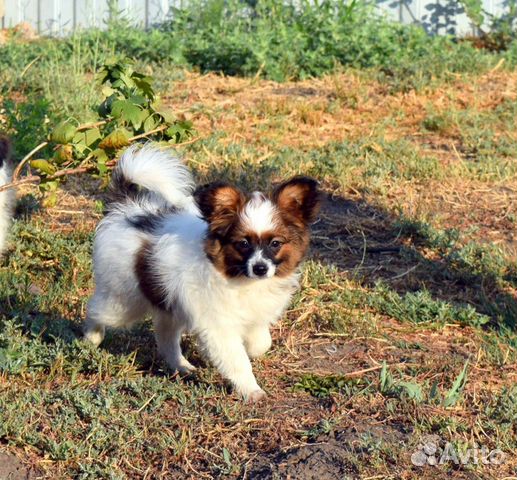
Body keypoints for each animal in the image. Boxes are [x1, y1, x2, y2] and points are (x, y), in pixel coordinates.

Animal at [83, 144, 318, 400]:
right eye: (243, 244)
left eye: (275, 243)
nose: (260, 268)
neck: (239, 277)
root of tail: (126, 207)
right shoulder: (218, 326)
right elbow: (237, 361)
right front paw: (251, 390)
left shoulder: (253, 316)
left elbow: (261, 342)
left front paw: (253, 351)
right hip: (123, 303)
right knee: (95, 310)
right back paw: (90, 339)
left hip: (167, 301)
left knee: (165, 335)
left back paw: (182, 366)